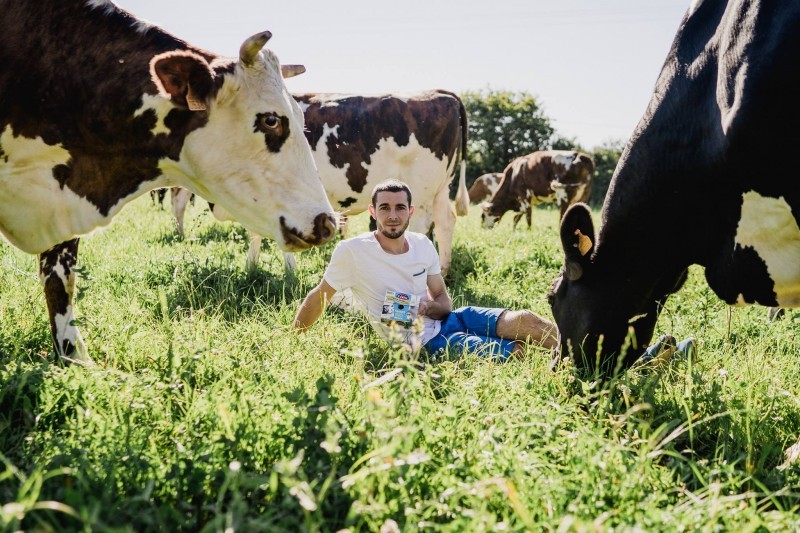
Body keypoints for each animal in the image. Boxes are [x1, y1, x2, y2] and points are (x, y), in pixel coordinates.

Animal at [191, 89, 472, 274]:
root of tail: (439, 93)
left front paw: (289, 273)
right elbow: (257, 232)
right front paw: (252, 267)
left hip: (421, 187)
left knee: (423, 225)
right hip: (440, 188)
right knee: (446, 222)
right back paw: (444, 271)